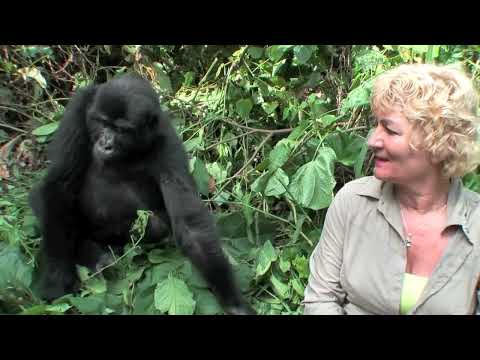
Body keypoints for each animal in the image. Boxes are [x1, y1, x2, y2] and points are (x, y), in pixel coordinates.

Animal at [29, 72, 255, 316]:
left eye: (122, 130)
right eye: (102, 123)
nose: (106, 144)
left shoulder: (167, 141)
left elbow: (190, 225)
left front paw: (233, 301)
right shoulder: (78, 109)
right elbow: (60, 185)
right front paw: (56, 279)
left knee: (156, 224)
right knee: (44, 200)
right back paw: (92, 254)